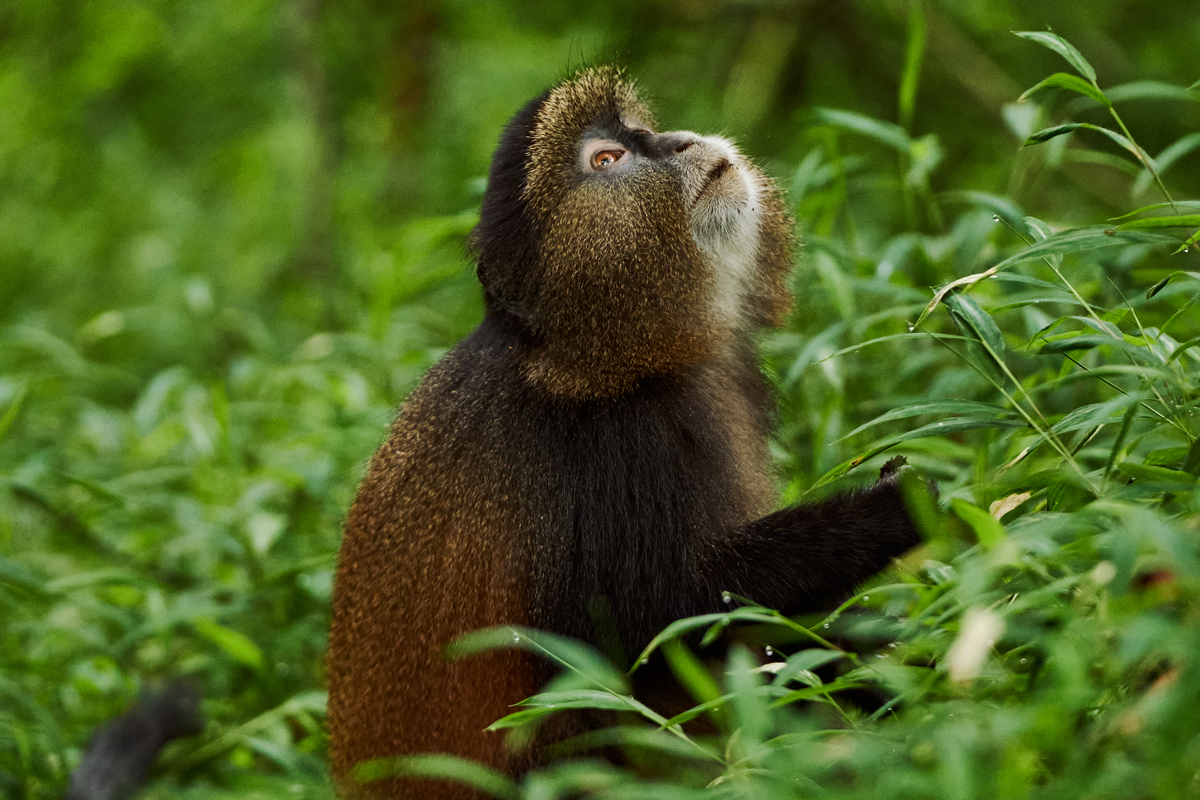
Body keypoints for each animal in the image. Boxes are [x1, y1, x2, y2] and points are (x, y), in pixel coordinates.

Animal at [326, 66, 923, 799]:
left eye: (636, 131)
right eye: (608, 161)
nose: (677, 141)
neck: (609, 361)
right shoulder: (606, 448)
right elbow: (660, 621)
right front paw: (891, 510)